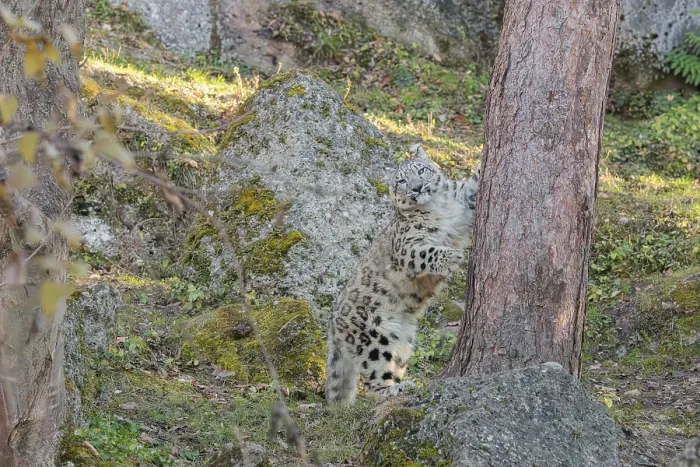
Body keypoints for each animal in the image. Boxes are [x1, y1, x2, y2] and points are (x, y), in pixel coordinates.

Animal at [325, 144, 481, 404]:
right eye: (401, 181)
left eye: (421, 170)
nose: (417, 188)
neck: (437, 207)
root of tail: (333, 324)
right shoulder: (407, 246)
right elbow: (426, 252)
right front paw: (453, 257)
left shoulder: (463, 202)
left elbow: (473, 184)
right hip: (374, 339)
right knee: (373, 378)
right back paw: (395, 390)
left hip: (403, 342)